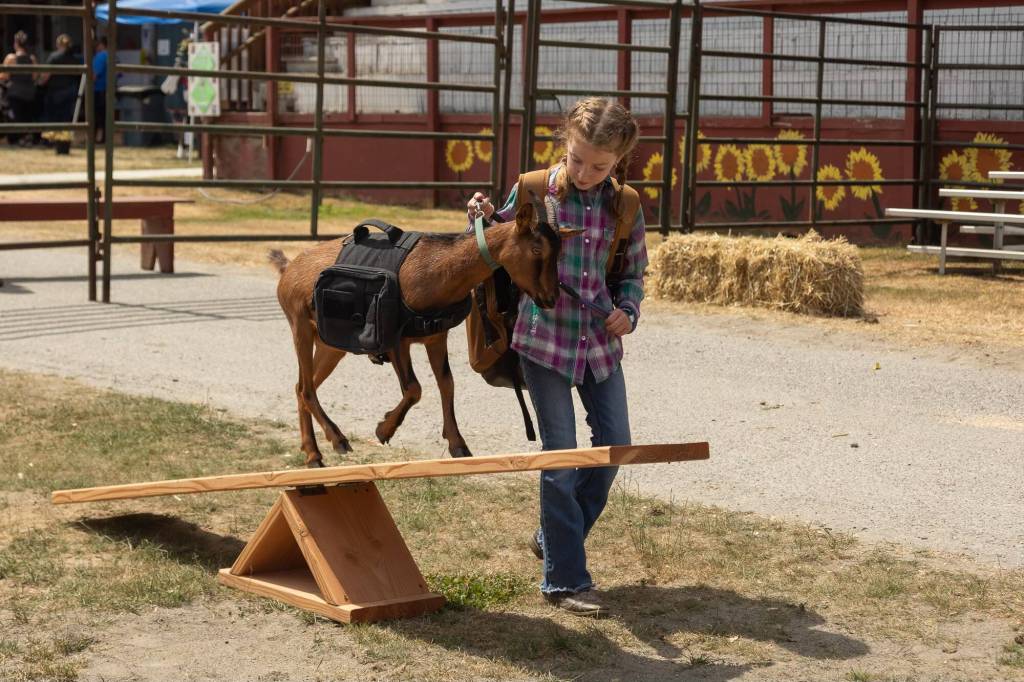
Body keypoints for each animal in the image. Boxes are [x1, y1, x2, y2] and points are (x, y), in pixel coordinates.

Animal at [270, 201, 578, 468]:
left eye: (559, 252)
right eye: (536, 249)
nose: (550, 298)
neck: (435, 269)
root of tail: (289, 269)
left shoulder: (436, 337)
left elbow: (447, 383)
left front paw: (458, 445)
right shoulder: (396, 339)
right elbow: (414, 388)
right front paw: (384, 429)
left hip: (331, 345)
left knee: (301, 386)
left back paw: (312, 452)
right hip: (299, 326)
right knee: (307, 388)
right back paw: (335, 442)